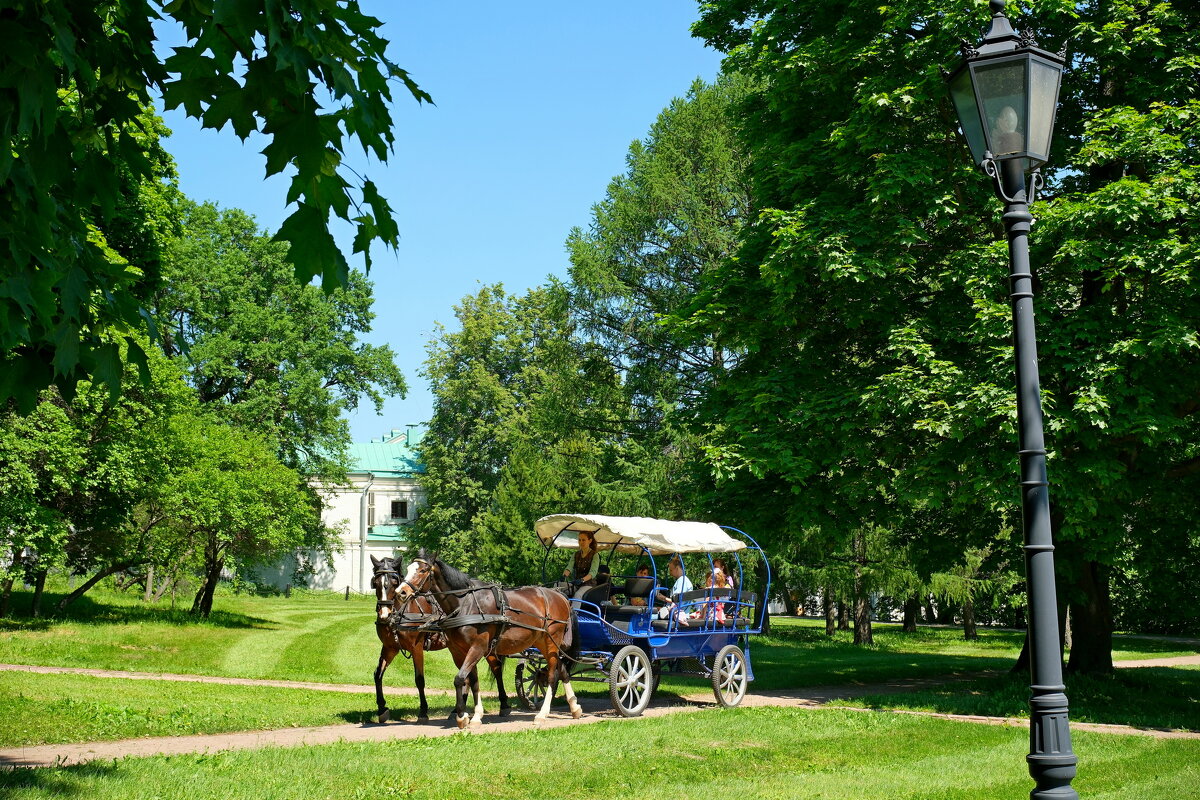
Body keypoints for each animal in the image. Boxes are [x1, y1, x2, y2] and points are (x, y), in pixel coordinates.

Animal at [364, 556, 451, 724]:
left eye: (394, 582)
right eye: (375, 583)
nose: (384, 614)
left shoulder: (416, 648)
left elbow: (419, 679)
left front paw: (423, 711)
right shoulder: (389, 647)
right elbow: (378, 674)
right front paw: (382, 708)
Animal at [393, 546, 580, 729]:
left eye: (423, 570)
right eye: (408, 569)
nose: (401, 592)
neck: (465, 604)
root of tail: (560, 596)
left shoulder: (477, 647)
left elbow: (460, 679)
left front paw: (461, 716)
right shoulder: (459, 651)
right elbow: (472, 681)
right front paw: (475, 716)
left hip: (551, 641)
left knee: (552, 675)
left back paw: (542, 713)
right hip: (543, 642)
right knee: (562, 670)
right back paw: (574, 707)